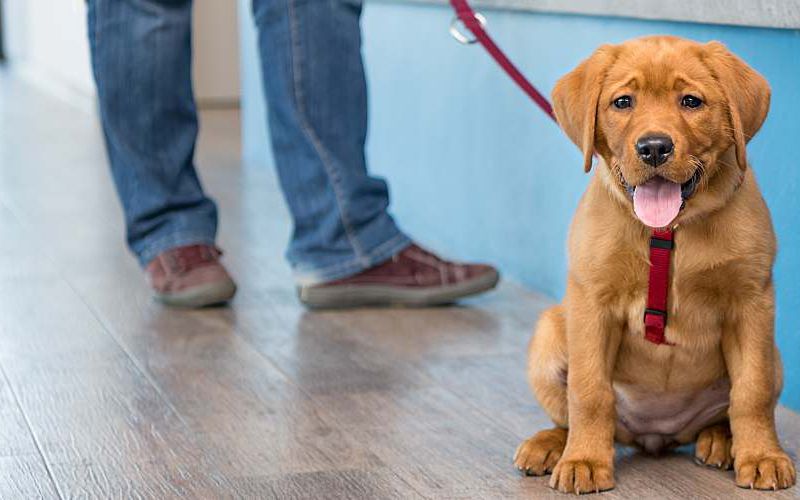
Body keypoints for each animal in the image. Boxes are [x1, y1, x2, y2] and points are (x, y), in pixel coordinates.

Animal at [512, 37, 792, 494]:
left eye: (691, 101)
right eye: (623, 102)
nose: (655, 147)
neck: (668, 230)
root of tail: (657, 434)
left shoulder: (752, 302)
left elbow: (752, 392)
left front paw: (762, 456)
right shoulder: (591, 303)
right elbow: (589, 392)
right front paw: (585, 460)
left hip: (776, 357)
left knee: (728, 407)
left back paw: (720, 440)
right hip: (550, 332)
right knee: (574, 413)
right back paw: (554, 445)